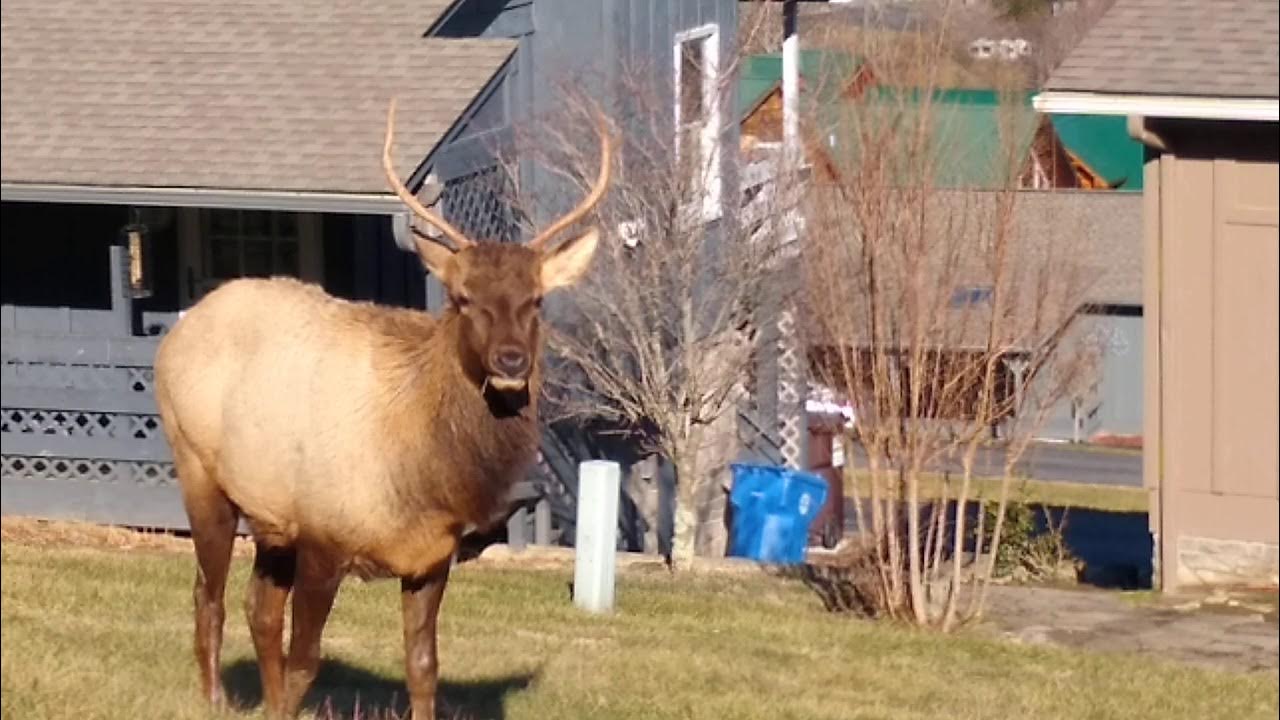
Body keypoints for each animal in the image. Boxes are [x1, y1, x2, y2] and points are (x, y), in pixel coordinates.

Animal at [153, 98, 612, 719]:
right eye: (463, 298)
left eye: (536, 300)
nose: (511, 360)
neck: (422, 475)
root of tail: (180, 328)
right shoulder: (323, 534)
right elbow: (306, 663)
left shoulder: (432, 556)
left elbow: (423, 666)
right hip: (197, 469)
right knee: (210, 594)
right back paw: (215, 698)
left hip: (271, 518)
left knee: (258, 608)